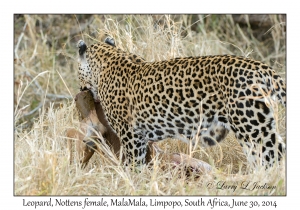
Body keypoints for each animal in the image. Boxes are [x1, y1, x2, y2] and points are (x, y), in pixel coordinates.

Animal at [77, 37, 286, 169]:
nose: (79, 89)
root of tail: (261, 68)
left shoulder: (131, 134)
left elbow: (134, 164)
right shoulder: (141, 137)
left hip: (251, 128)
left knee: (272, 156)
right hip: (262, 123)